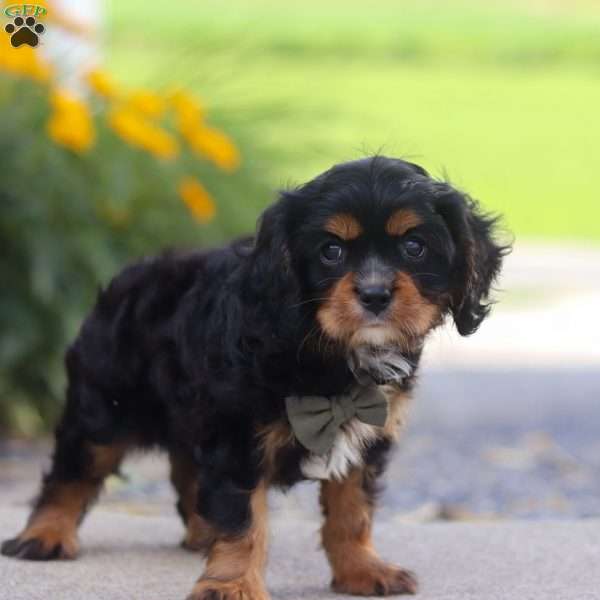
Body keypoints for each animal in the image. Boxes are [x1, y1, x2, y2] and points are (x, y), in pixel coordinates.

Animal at [1, 157, 506, 596]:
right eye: (331, 251)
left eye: (414, 247)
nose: (376, 294)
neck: (323, 350)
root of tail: (132, 272)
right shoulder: (236, 437)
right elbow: (244, 520)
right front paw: (232, 585)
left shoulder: (366, 433)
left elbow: (352, 511)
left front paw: (362, 571)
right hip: (104, 406)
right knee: (73, 470)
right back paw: (45, 535)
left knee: (186, 473)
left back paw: (200, 533)